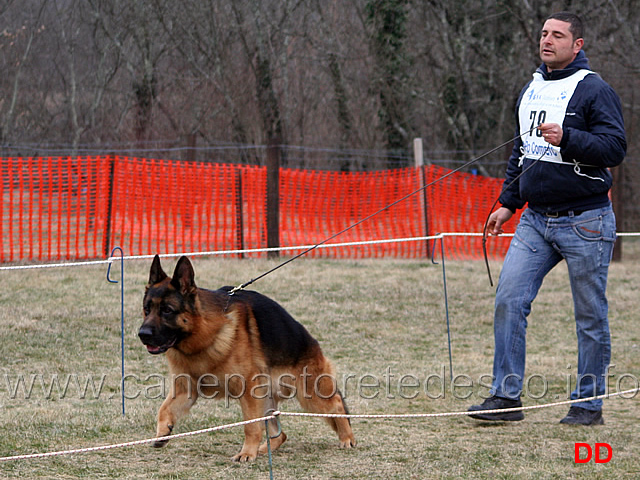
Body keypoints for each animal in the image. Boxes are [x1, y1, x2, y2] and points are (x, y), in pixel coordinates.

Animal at [139, 255, 356, 462]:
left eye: (167, 310)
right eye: (147, 310)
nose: (142, 334)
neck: (204, 335)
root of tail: (310, 339)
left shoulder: (248, 391)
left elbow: (250, 427)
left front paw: (246, 453)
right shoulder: (186, 390)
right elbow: (164, 409)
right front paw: (162, 432)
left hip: (308, 393)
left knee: (337, 404)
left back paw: (347, 438)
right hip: (267, 399)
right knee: (280, 433)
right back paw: (265, 449)